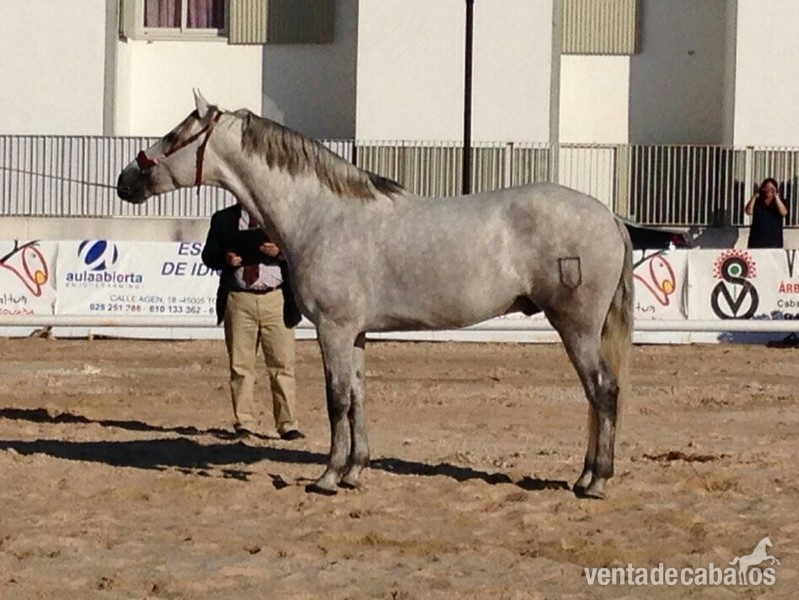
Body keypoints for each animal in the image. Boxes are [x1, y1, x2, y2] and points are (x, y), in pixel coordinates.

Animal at [117, 91, 633, 499]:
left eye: (174, 136)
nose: (126, 181)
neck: (321, 214)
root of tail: (609, 216)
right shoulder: (357, 333)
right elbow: (359, 395)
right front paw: (355, 472)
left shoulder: (333, 329)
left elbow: (337, 399)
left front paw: (328, 477)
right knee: (596, 396)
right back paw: (585, 476)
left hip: (576, 326)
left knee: (603, 390)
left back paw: (596, 482)